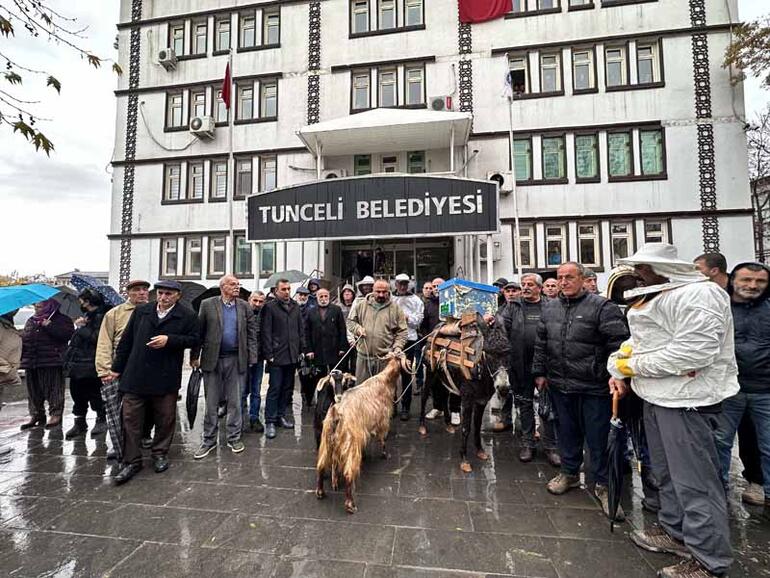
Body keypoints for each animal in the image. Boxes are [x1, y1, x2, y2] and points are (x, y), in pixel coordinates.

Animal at [314, 352, 404, 512]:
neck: (384, 380)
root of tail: (336, 413)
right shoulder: (383, 421)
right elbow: (383, 439)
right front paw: (384, 454)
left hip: (326, 441)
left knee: (320, 466)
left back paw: (321, 492)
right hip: (350, 444)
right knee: (349, 473)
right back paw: (350, 504)